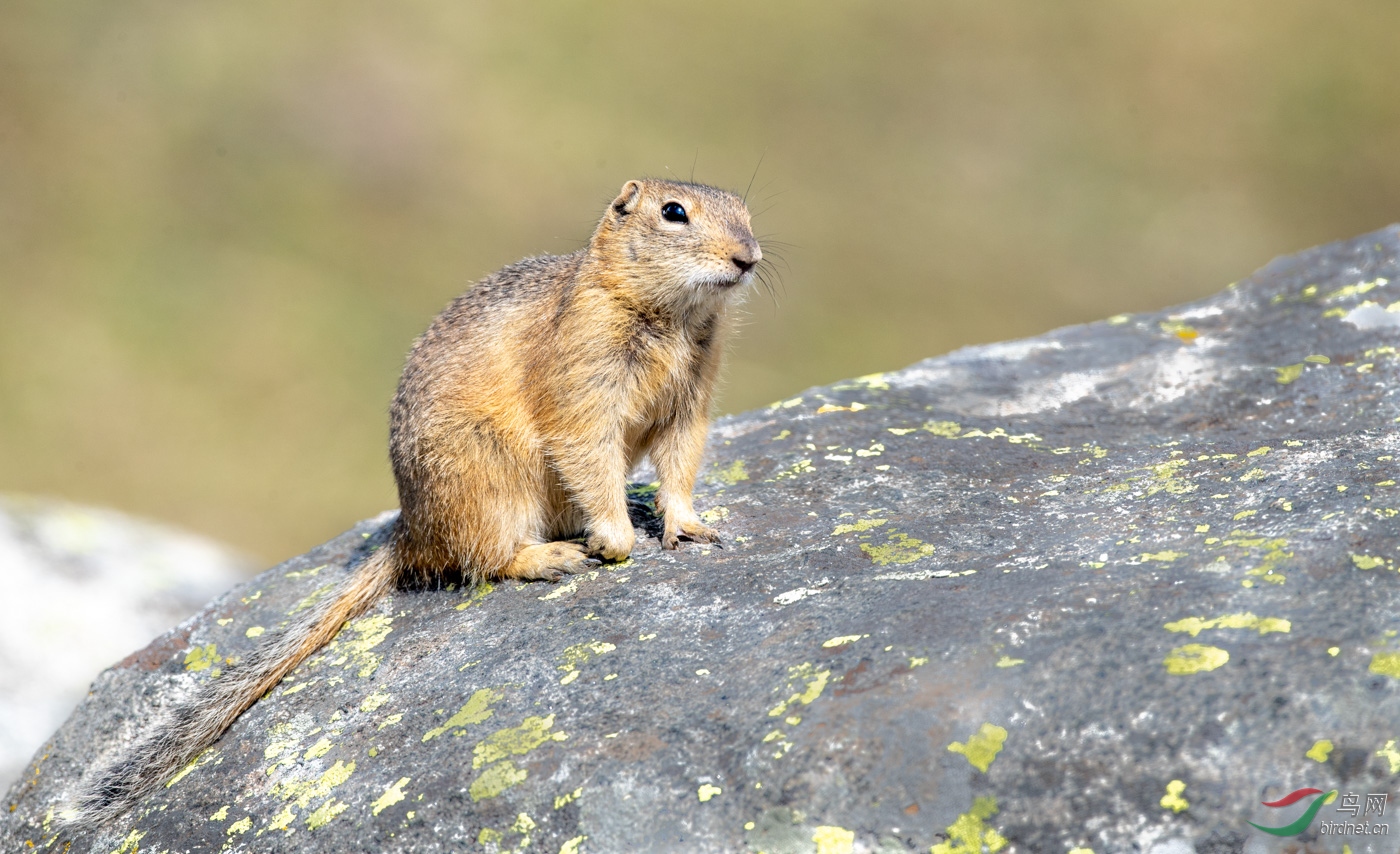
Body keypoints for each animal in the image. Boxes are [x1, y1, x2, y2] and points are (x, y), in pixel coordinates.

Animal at [71, 179, 761, 823]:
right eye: (674, 212)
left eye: (746, 210)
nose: (748, 257)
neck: (670, 316)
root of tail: (410, 530)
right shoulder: (584, 376)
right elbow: (589, 452)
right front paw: (615, 540)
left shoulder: (694, 392)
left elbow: (682, 460)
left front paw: (690, 526)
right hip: (484, 486)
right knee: (483, 558)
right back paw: (551, 556)